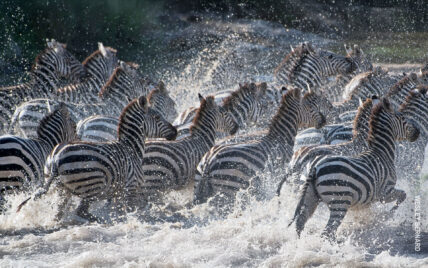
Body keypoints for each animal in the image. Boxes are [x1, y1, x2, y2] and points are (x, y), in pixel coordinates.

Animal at [16, 95, 177, 221]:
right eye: (157, 117)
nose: (175, 132)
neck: (132, 147)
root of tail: (56, 158)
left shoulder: (118, 192)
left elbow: (121, 211)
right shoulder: (131, 188)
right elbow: (133, 211)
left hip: (61, 190)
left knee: (59, 214)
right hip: (92, 186)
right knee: (82, 212)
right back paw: (102, 221)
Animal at [195, 88, 328, 207]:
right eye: (311, 108)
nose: (324, 120)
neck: (280, 138)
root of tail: (208, 161)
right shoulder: (278, 173)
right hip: (229, 189)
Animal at [290, 97, 420, 240]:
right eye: (402, 117)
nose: (418, 132)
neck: (381, 152)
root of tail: (315, 167)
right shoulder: (384, 192)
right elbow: (403, 196)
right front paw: (387, 216)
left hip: (309, 197)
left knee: (300, 223)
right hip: (339, 203)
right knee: (327, 232)